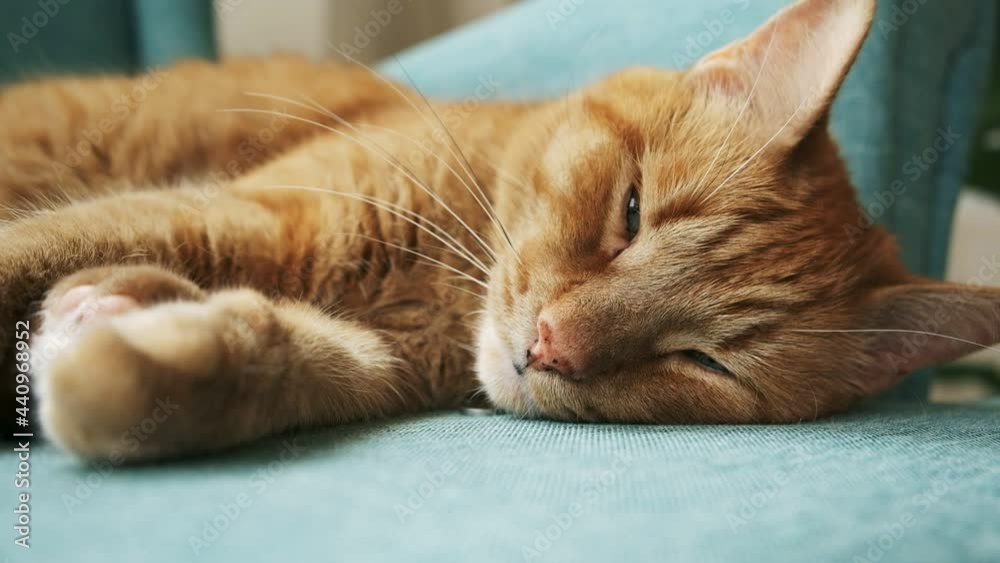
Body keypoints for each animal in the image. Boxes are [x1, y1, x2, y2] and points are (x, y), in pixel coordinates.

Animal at [1, 0, 1000, 460]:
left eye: (705, 363)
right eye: (630, 212)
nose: (551, 344)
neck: (437, 296)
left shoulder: (367, 359)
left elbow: (270, 361)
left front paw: (123, 337)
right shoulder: (244, 217)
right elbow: (41, 247)